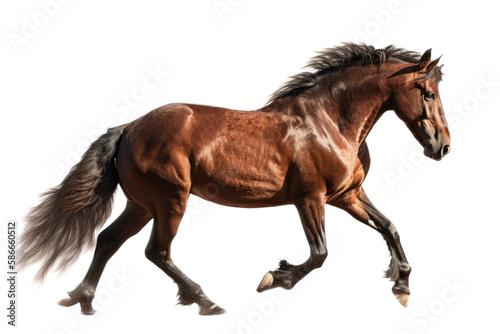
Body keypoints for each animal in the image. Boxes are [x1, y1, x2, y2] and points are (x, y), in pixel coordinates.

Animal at [18, 43, 450, 316]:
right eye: (427, 93)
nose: (442, 147)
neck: (330, 122)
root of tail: (128, 128)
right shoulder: (311, 198)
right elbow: (320, 254)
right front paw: (274, 277)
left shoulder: (348, 196)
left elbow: (389, 227)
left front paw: (401, 286)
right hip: (170, 199)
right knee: (156, 251)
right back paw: (205, 302)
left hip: (141, 204)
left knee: (108, 240)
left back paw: (83, 300)